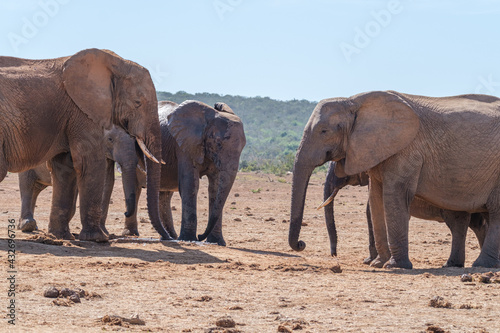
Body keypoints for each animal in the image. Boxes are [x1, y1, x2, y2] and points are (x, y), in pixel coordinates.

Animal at [0, 48, 172, 241]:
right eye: (138, 103)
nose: (167, 238)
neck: (114, 62)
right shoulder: (82, 111)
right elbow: (89, 162)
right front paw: (98, 238)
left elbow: (65, 166)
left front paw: (62, 237)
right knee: (26, 184)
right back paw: (28, 226)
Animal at [121, 98, 246, 244]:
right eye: (218, 144)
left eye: (243, 147)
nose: (201, 236)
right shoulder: (185, 146)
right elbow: (190, 184)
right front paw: (188, 239)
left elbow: (215, 188)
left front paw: (216, 242)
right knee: (136, 188)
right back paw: (131, 234)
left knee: (164, 195)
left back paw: (169, 237)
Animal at [320, 161, 488, 268]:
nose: (334, 256)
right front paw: (371, 261)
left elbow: (371, 213)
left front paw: (371, 261)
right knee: (478, 224)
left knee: (459, 223)